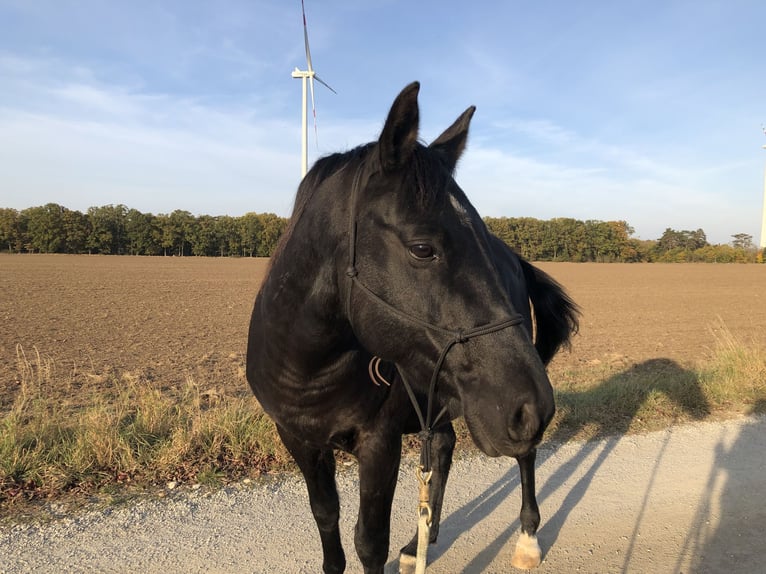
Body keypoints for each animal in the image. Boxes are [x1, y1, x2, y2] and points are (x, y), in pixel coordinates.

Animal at [246, 82, 579, 574]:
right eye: (423, 248)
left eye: (481, 238)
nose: (533, 407)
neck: (309, 369)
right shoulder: (299, 441)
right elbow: (327, 519)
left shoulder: (379, 444)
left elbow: (369, 542)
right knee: (443, 446)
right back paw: (422, 540)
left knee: (525, 457)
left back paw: (527, 539)